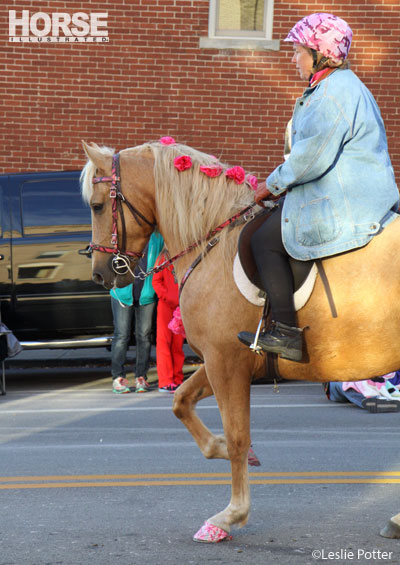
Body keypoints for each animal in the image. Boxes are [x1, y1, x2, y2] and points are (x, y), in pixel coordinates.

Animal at [81, 138, 400, 540]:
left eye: (97, 205)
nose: (99, 274)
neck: (213, 243)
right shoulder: (220, 360)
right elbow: (182, 402)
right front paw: (217, 448)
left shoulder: (226, 363)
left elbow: (236, 436)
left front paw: (230, 515)